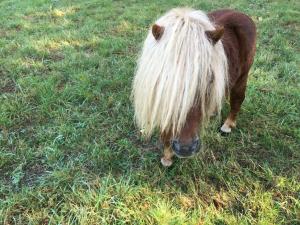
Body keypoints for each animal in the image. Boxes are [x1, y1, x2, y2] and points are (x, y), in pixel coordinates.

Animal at [132, 7, 256, 166]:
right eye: (165, 80)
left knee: (237, 99)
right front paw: (167, 156)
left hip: (243, 77)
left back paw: (228, 125)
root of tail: (240, 13)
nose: (186, 149)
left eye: (209, 79)